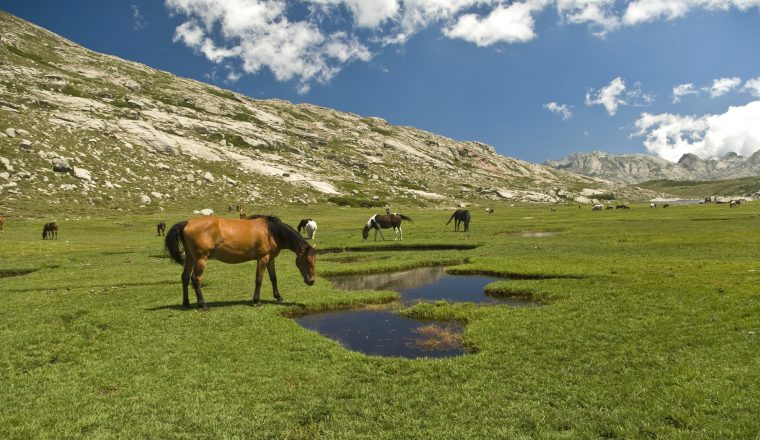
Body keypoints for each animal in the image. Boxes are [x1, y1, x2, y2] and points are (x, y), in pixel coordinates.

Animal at [165, 215, 316, 308]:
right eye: (308, 261)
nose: (311, 281)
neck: (272, 232)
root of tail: (186, 222)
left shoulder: (270, 258)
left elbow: (273, 278)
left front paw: (278, 297)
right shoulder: (263, 258)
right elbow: (259, 279)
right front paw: (257, 301)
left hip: (191, 258)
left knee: (185, 277)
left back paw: (186, 303)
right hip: (201, 259)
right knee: (195, 278)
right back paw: (203, 304)